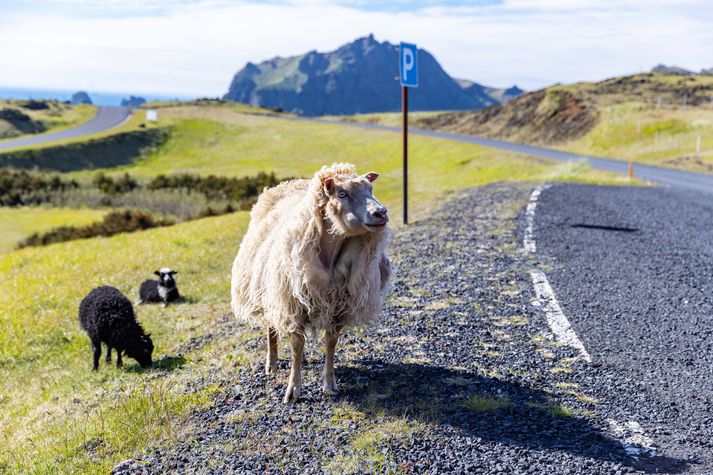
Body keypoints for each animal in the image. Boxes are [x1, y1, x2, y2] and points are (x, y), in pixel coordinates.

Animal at [231, 163, 390, 402]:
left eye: (370, 189)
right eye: (341, 194)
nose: (381, 212)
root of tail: (287, 184)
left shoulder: (339, 304)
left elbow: (331, 343)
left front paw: (329, 383)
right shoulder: (292, 303)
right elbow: (296, 345)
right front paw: (293, 390)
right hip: (270, 290)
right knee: (271, 327)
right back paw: (272, 364)